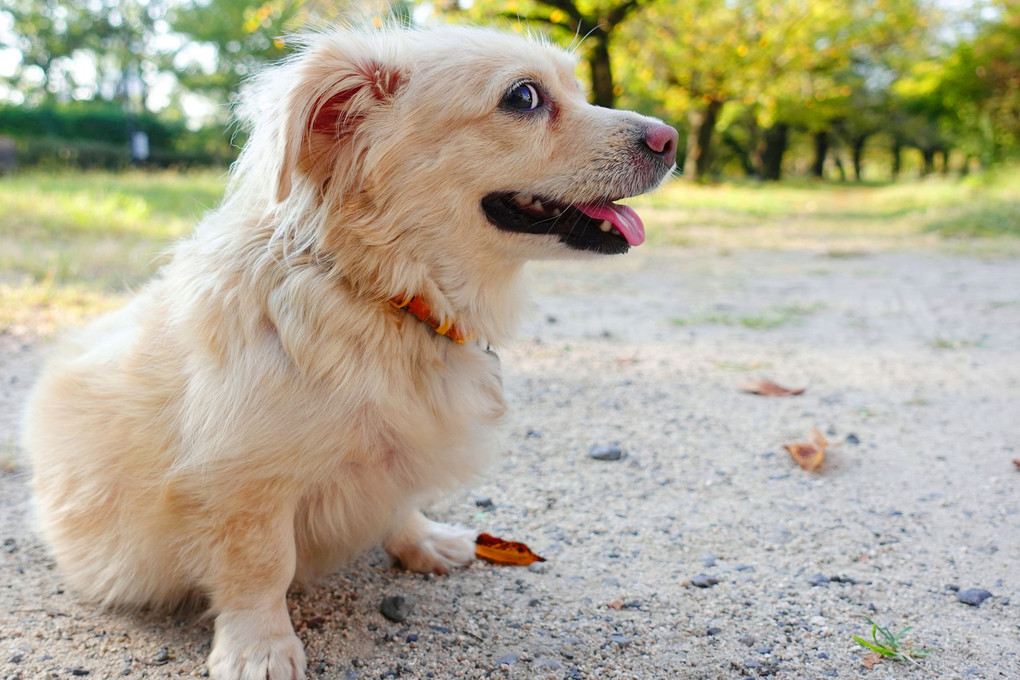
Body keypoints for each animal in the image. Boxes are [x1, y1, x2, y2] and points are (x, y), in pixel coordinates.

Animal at [19, 23, 673, 680]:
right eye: (524, 97)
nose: (669, 140)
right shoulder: (243, 481)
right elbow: (260, 568)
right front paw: (260, 648)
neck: (383, 292)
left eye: (576, 88)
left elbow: (401, 503)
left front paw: (422, 542)